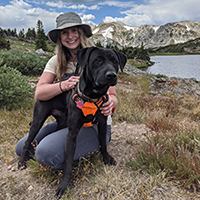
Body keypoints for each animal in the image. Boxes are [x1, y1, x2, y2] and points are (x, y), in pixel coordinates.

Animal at [17, 47, 126, 198]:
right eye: (98, 60)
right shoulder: (72, 133)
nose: (111, 75)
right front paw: (63, 186)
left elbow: (103, 144)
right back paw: (22, 162)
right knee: (27, 141)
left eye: (115, 61)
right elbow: (68, 163)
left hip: (62, 123)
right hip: (37, 121)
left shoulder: (102, 124)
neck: (92, 96)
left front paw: (107, 158)